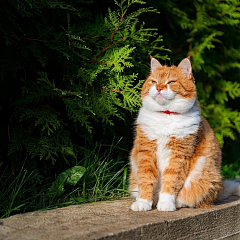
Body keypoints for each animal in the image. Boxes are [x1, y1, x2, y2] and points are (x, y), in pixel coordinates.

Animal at [129, 57, 240, 211]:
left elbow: (171, 181)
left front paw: (166, 204)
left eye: (171, 82)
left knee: (191, 198)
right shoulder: (146, 151)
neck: (166, 115)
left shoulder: (178, 155)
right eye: (154, 82)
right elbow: (146, 178)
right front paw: (143, 202)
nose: (159, 88)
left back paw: (173, 203)